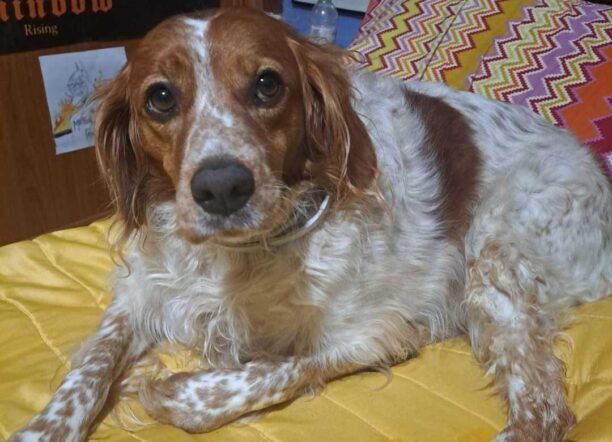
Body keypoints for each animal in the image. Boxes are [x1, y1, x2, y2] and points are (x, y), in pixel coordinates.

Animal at [11, 7, 611, 442]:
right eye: (160, 97)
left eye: (267, 84)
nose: (222, 188)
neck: (241, 256)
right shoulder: (142, 293)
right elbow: (90, 368)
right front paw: (43, 428)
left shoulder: (385, 331)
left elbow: (274, 367)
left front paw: (177, 396)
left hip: (494, 255)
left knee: (543, 412)